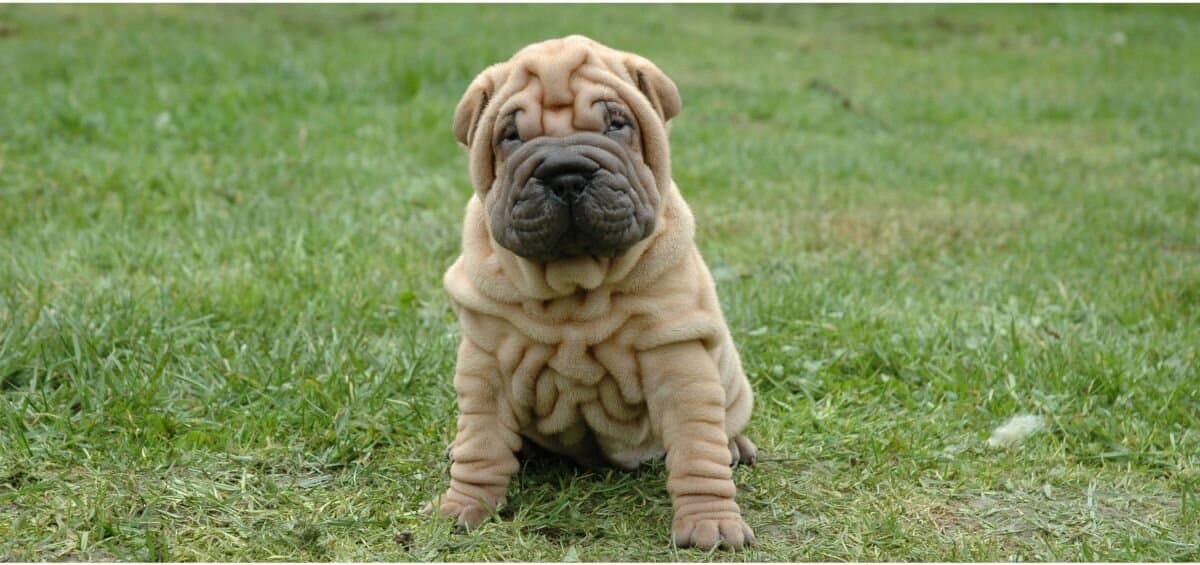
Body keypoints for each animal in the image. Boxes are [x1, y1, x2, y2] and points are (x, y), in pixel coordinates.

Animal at [432, 34, 753, 549]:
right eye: (511, 136)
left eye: (617, 124)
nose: (565, 173)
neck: (575, 287)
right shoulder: (486, 363)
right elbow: (481, 444)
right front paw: (462, 507)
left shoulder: (677, 358)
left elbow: (697, 450)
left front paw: (711, 523)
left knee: (723, 427)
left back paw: (736, 445)